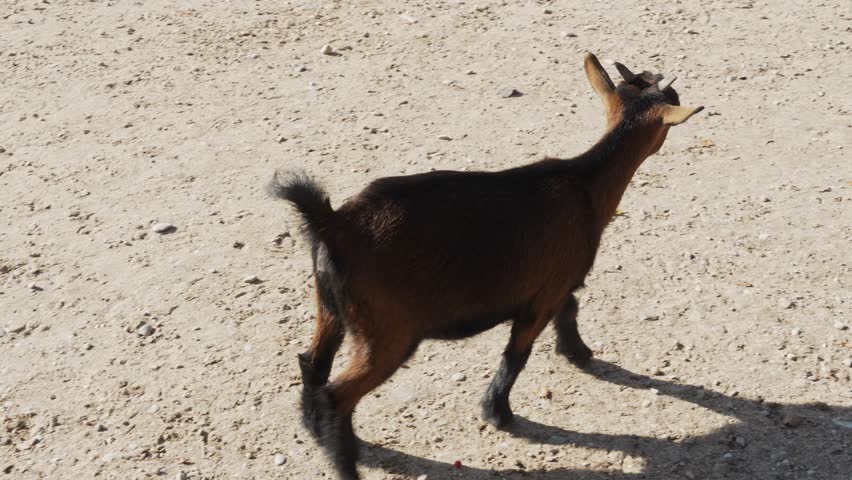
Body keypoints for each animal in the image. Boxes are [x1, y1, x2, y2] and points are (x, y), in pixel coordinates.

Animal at [268, 52, 703, 480]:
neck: (586, 184)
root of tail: (332, 224)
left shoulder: (555, 283)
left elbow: (569, 312)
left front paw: (578, 353)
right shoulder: (543, 295)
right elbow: (517, 354)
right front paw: (497, 412)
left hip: (330, 307)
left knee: (312, 363)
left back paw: (313, 429)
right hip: (387, 332)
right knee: (338, 395)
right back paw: (346, 462)